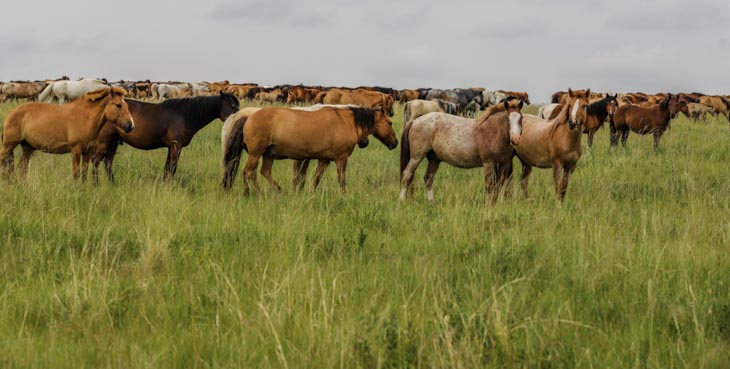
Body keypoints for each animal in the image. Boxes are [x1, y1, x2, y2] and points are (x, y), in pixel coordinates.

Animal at [1, 86, 134, 178]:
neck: (84, 118)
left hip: (28, 148)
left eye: (127, 106)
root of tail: (11, 112)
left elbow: (84, 174)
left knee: (22, 169)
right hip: (9, 145)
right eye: (118, 105)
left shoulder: (88, 152)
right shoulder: (75, 151)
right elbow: (76, 174)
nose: (131, 125)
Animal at [90, 91, 239, 182]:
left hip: (113, 141)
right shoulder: (175, 146)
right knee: (96, 161)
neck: (184, 116)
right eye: (232, 105)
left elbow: (167, 168)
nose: (240, 118)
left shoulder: (171, 147)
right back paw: (95, 185)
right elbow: (172, 168)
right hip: (104, 140)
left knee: (108, 163)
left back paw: (112, 184)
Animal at [219, 105, 396, 193]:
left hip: (268, 155)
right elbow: (341, 180)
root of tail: (248, 116)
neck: (344, 122)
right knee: (249, 172)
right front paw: (344, 195)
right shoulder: (341, 159)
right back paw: (253, 193)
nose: (395, 143)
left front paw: (310, 194)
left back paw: (277, 190)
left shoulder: (324, 160)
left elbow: (316, 179)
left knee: (263, 172)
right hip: (256, 154)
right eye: (390, 122)